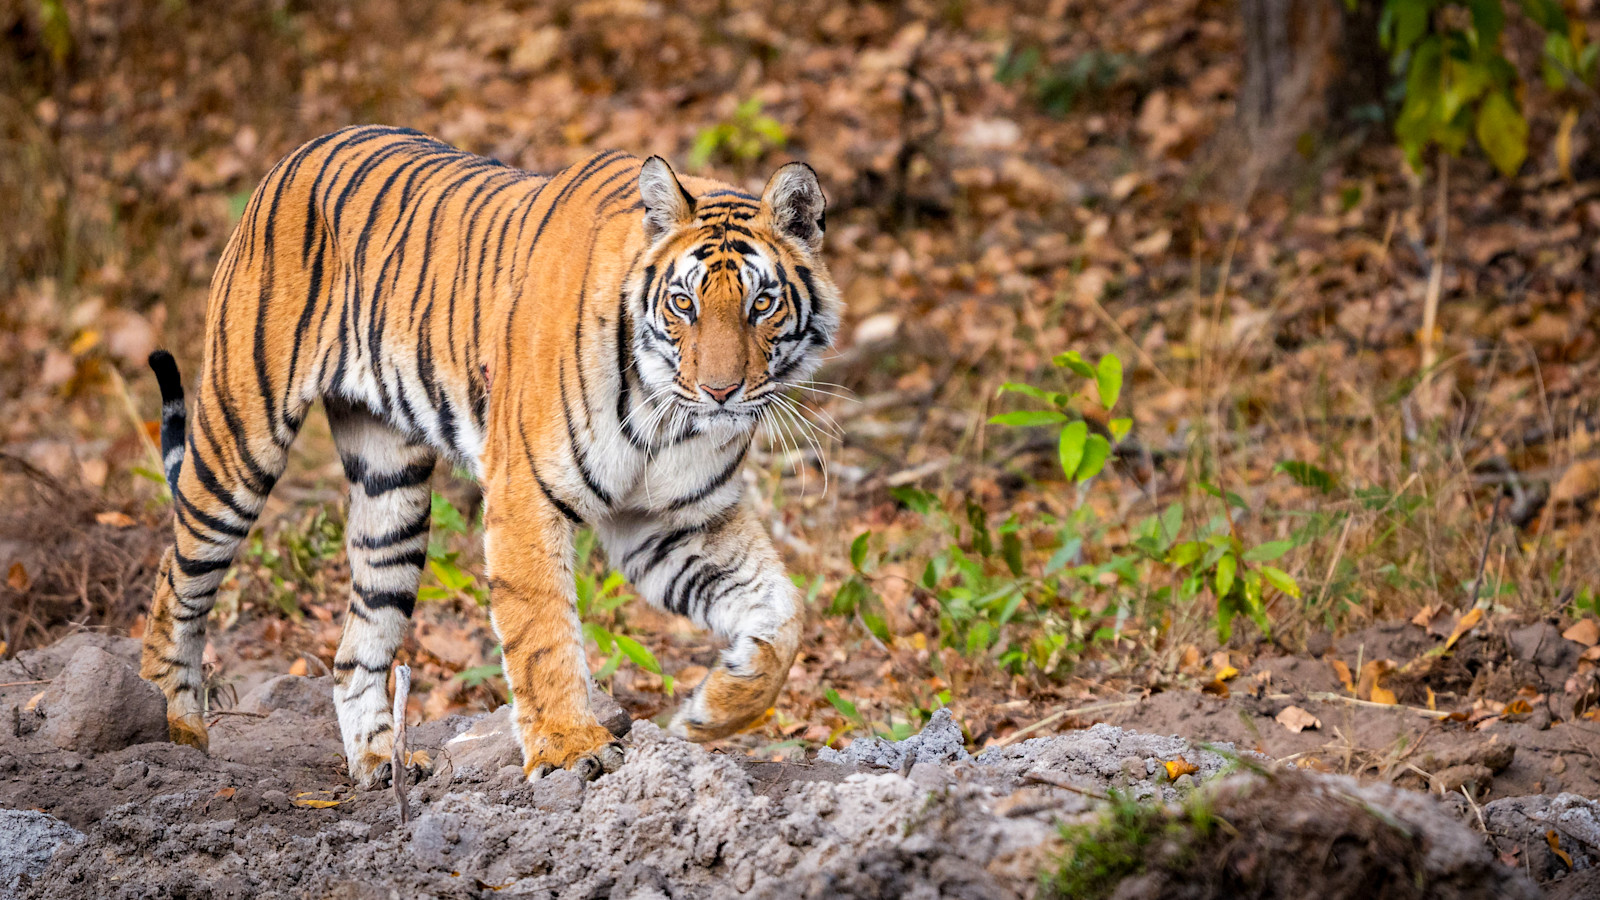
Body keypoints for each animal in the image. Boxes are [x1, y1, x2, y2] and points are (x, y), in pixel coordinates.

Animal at [139, 124, 839, 787]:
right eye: (683, 304)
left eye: (761, 303)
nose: (721, 391)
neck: (666, 416)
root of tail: (294, 154)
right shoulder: (527, 493)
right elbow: (543, 631)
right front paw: (571, 750)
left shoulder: (673, 522)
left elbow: (784, 612)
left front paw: (709, 714)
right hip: (238, 443)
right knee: (176, 583)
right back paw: (172, 735)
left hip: (391, 495)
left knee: (356, 645)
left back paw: (379, 763)